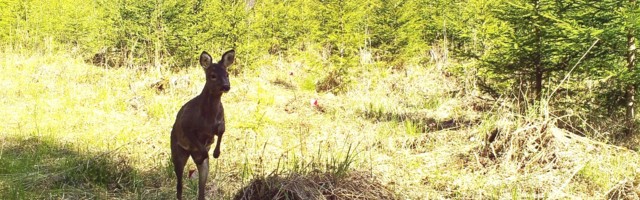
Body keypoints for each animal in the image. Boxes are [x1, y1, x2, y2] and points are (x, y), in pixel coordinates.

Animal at [171, 49, 236, 199]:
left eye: (227, 74)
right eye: (213, 75)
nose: (226, 86)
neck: (209, 118)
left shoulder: (221, 122)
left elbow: (222, 131)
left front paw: (216, 153)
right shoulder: (186, 124)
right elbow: (199, 144)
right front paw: (207, 153)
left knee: (201, 191)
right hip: (177, 152)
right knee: (179, 186)